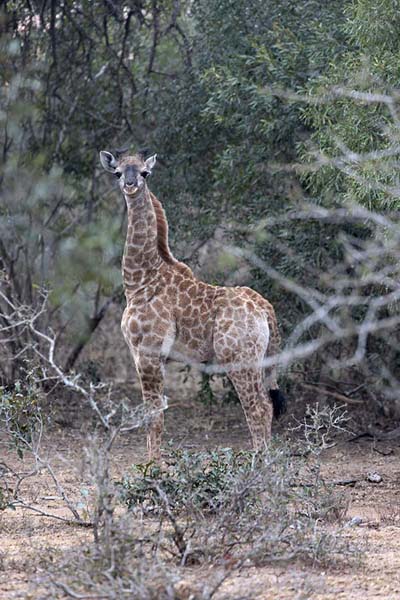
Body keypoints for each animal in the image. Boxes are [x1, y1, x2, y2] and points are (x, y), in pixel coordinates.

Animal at [100, 150, 288, 460]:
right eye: (117, 172)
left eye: (144, 173)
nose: (130, 185)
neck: (139, 279)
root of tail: (265, 309)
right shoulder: (156, 357)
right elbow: (156, 412)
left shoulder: (147, 352)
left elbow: (154, 414)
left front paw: (152, 467)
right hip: (261, 359)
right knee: (268, 405)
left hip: (239, 359)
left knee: (258, 408)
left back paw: (258, 465)